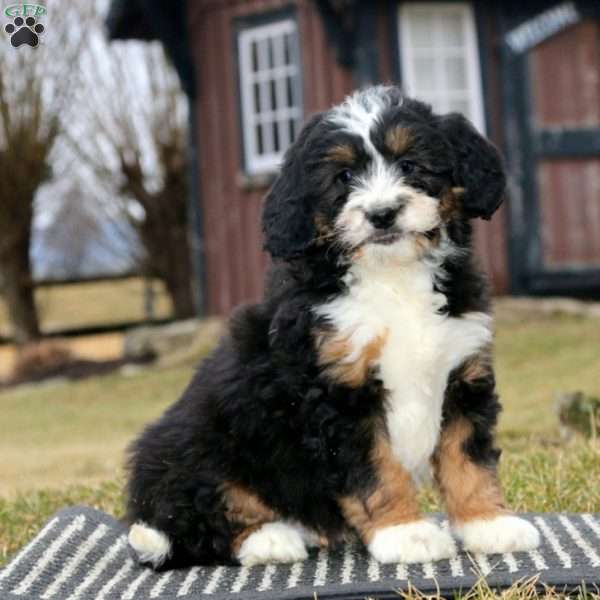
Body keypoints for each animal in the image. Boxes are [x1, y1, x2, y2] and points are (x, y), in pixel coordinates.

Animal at [124, 84, 540, 568]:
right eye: (343, 177)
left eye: (410, 165)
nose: (382, 213)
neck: (392, 278)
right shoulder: (338, 394)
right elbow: (377, 470)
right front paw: (405, 533)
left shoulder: (461, 373)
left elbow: (467, 459)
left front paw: (488, 524)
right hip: (202, 444)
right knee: (197, 521)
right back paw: (271, 538)